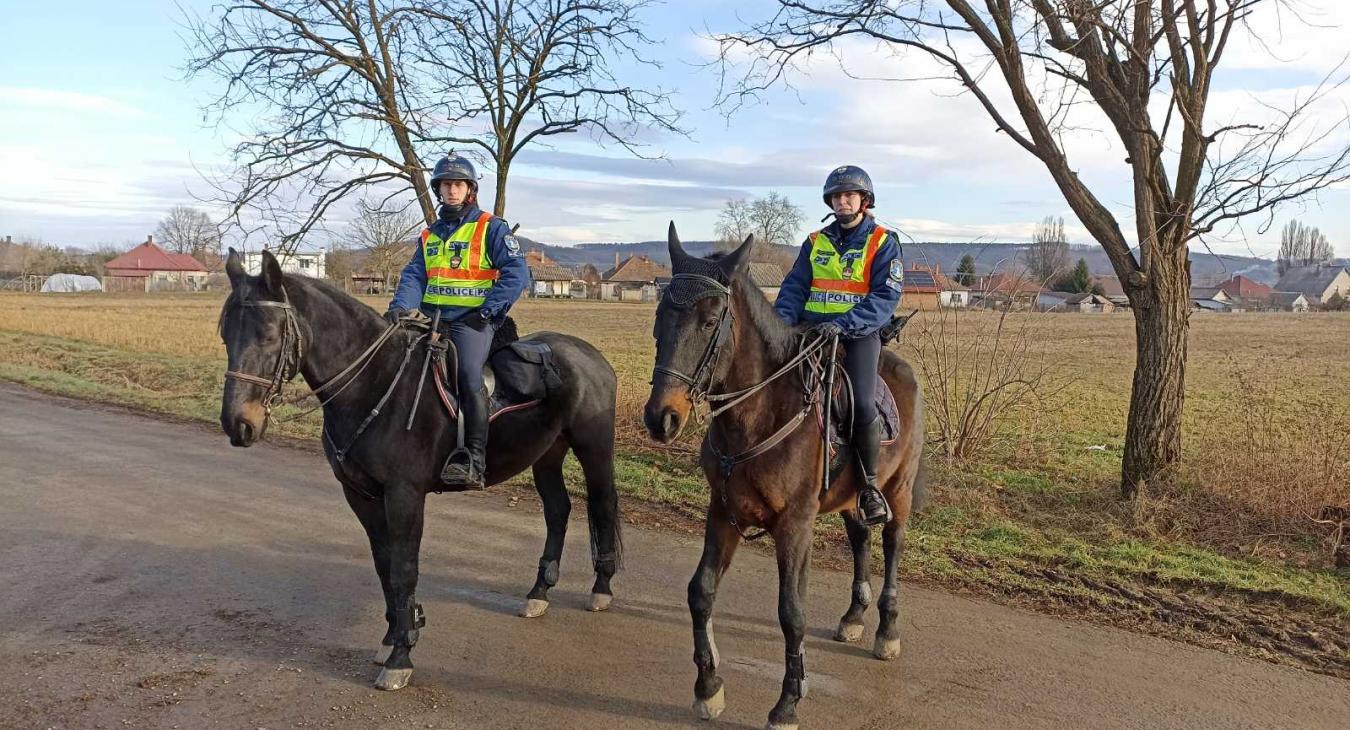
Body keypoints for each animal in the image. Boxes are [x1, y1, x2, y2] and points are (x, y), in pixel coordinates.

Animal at [218, 249, 623, 688]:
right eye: (225, 335)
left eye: (269, 335)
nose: (238, 424)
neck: (376, 386)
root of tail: (590, 355)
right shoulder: (362, 496)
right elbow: (384, 565)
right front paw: (393, 636)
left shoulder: (404, 495)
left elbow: (404, 570)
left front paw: (401, 656)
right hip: (546, 454)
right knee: (558, 511)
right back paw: (538, 594)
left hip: (593, 449)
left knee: (602, 506)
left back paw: (601, 589)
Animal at [645, 225, 928, 723]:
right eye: (662, 314)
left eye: (710, 320)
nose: (662, 417)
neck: (759, 414)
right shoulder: (724, 513)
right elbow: (700, 592)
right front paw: (708, 686)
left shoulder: (794, 525)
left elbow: (791, 612)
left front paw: (788, 702)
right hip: (849, 497)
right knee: (860, 539)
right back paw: (854, 617)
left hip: (899, 489)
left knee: (892, 543)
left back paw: (886, 631)